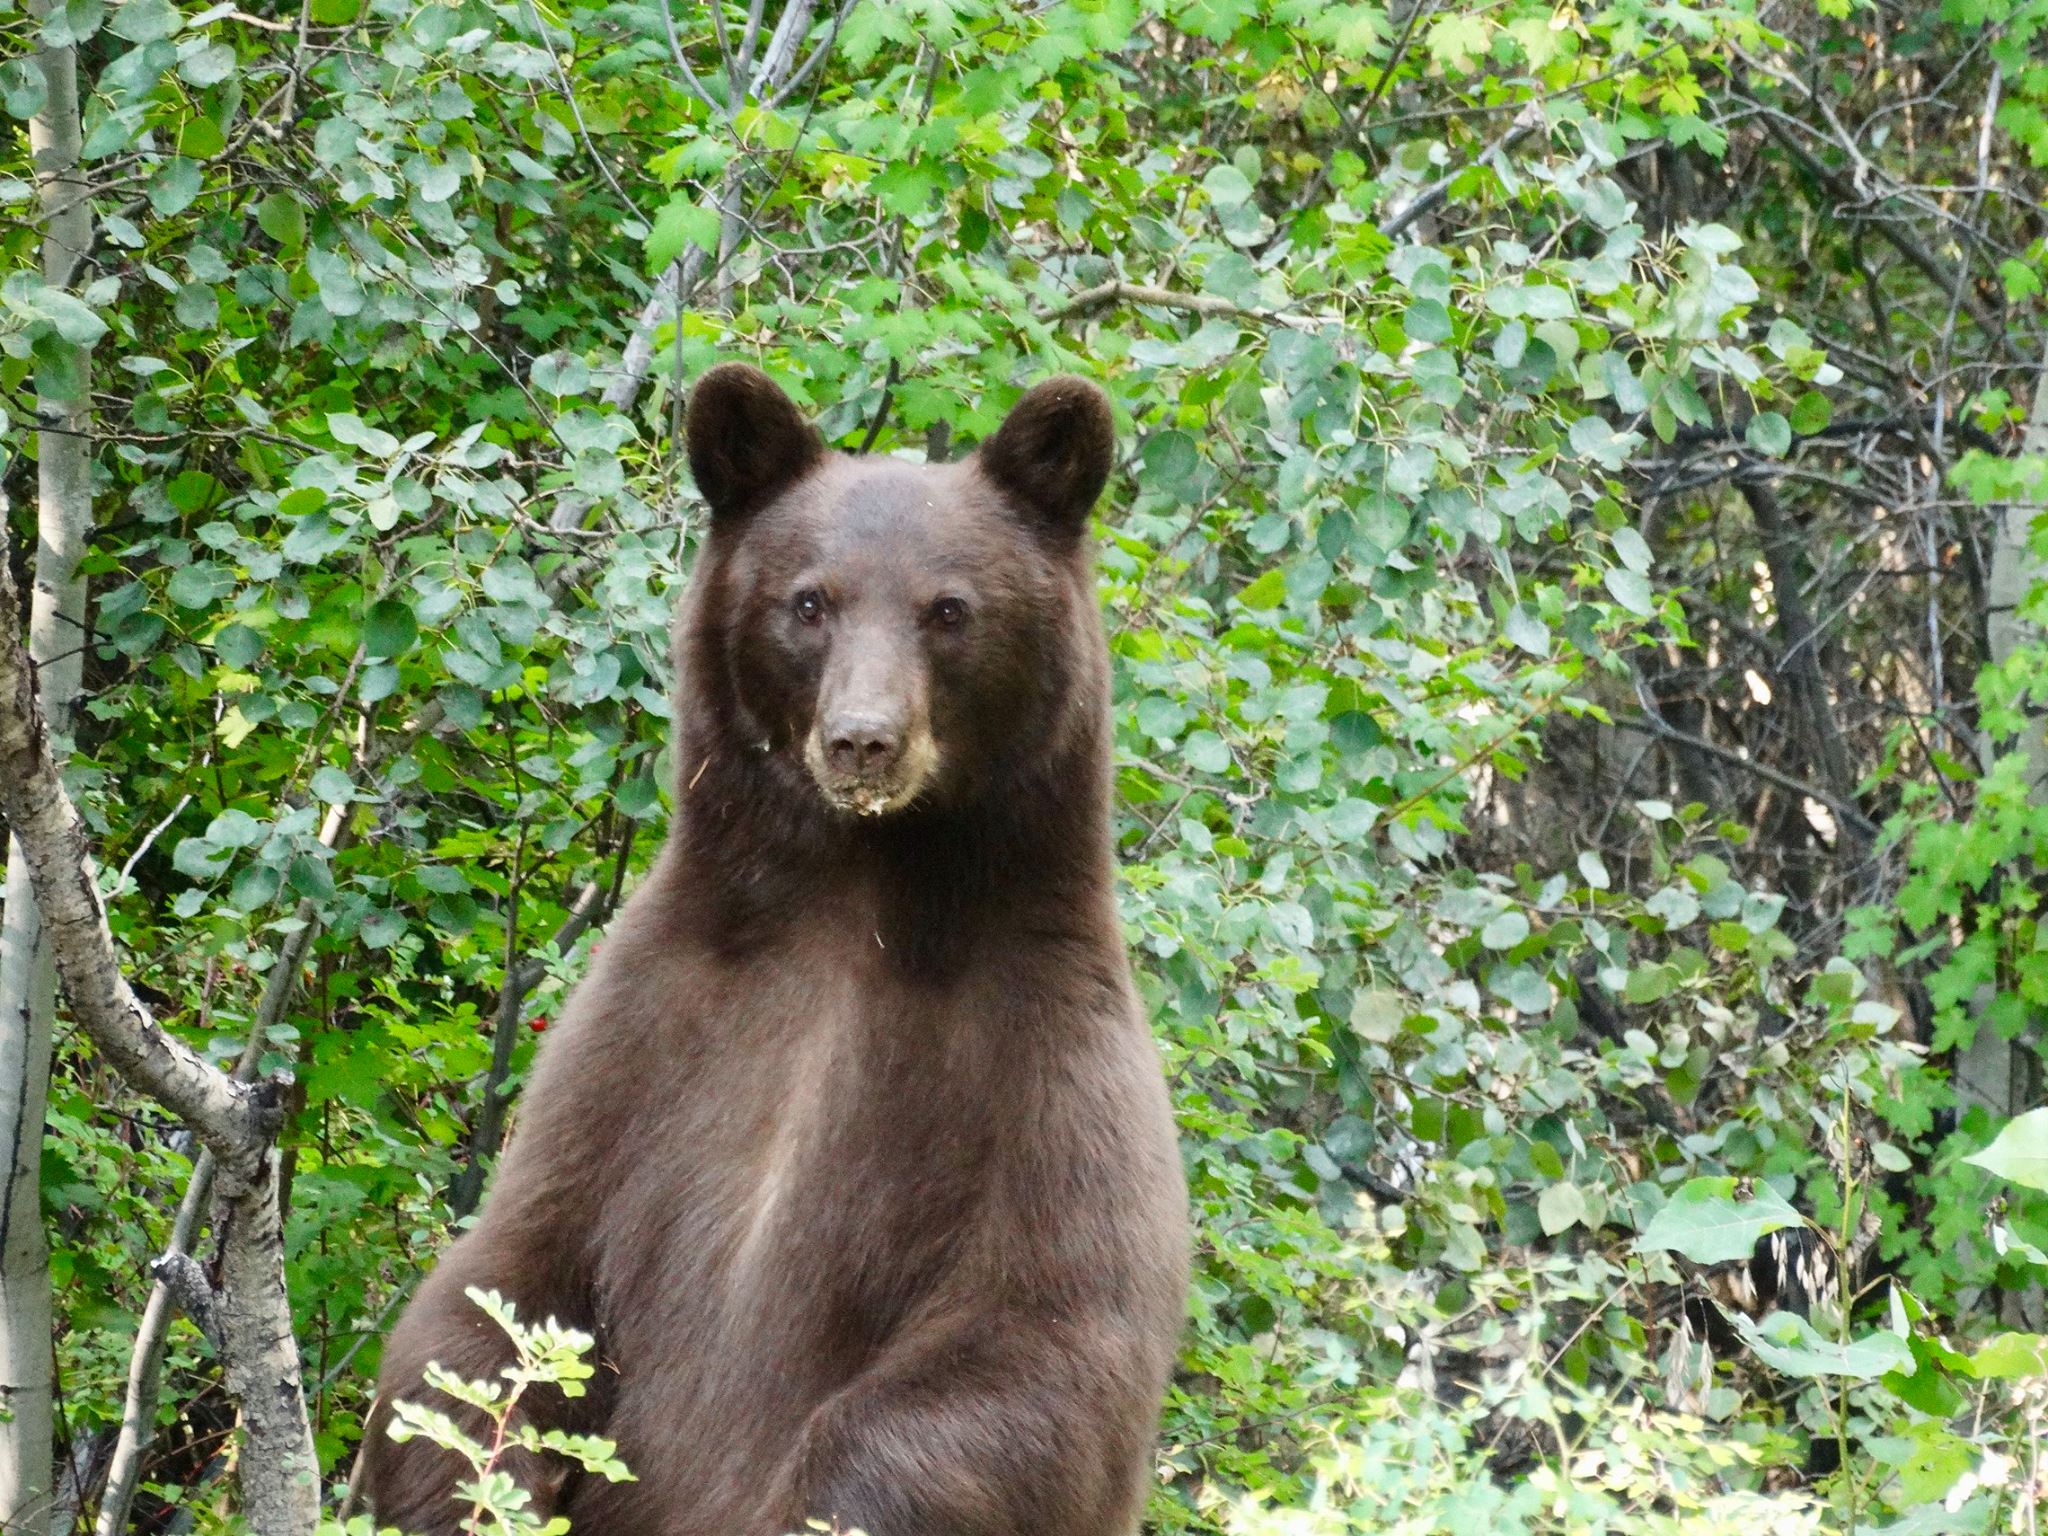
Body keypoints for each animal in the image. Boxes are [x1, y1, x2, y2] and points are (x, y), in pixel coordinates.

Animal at [362, 364, 1196, 1536]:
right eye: (810, 601)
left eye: (949, 610)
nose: (861, 740)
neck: (852, 900)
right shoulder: (644, 1029)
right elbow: (501, 1285)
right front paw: (481, 1487)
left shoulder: (1046, 1061)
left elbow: (1036, 1349)